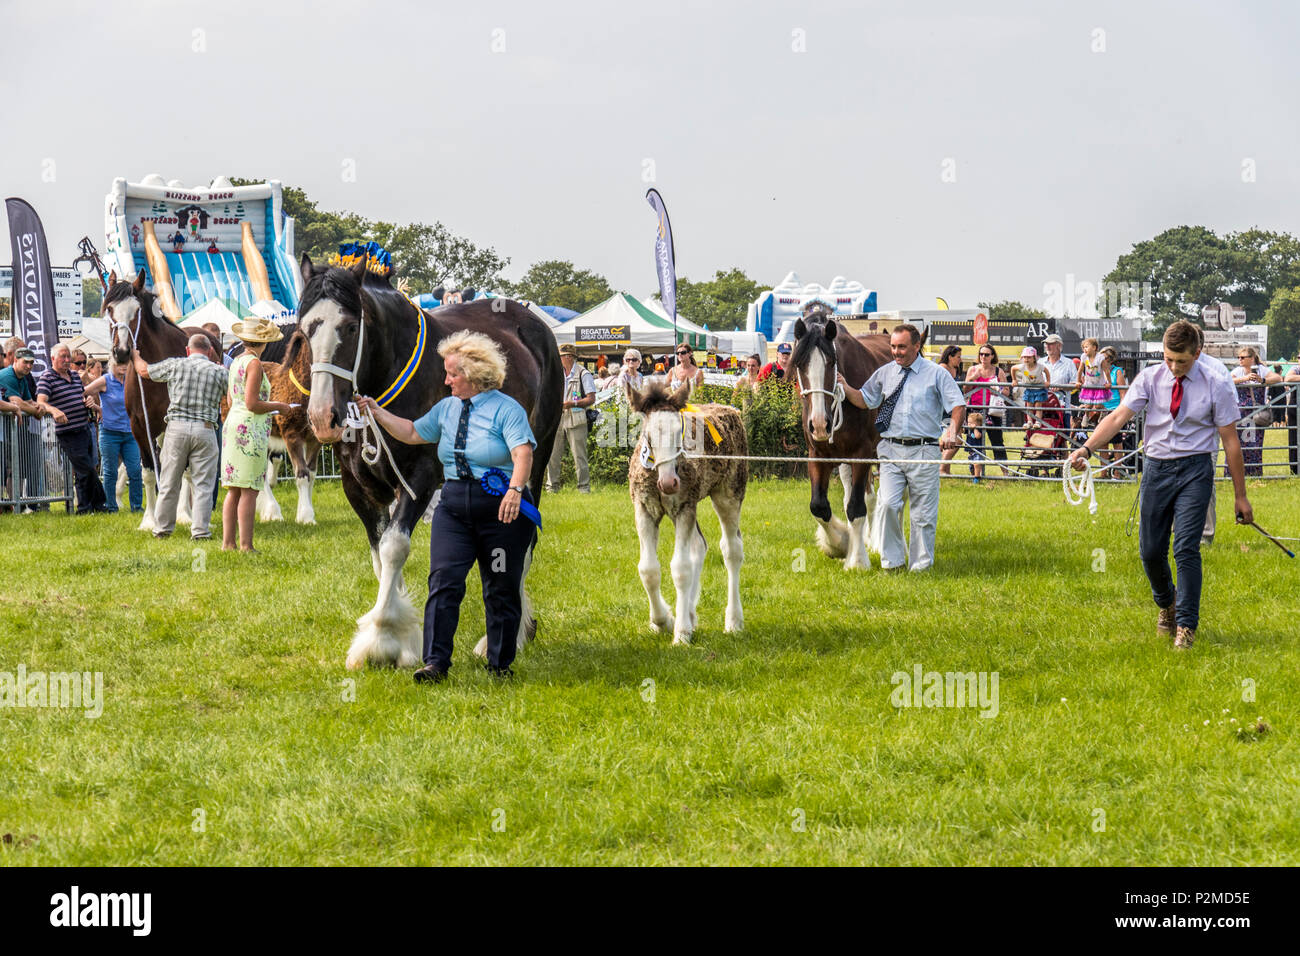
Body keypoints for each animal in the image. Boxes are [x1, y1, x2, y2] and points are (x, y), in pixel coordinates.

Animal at [299, 254, 564, 671]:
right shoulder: (359, 488)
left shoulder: (419, 478)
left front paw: (379, 640)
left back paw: (514, 635)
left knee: (523, 540)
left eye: (351, 326)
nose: (324, 416)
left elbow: (394, 547)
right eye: (304, 329)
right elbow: (380, 557)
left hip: (535, 462)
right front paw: (401, 642)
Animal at [790, 314, 894, 567]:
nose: (820, 424)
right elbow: (819, 507)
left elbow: (856, 507)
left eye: (830, 363)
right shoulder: (817, 456)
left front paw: (857, 560)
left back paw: (878, 543)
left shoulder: (861, 454)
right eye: (800, 364)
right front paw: (839, 544)